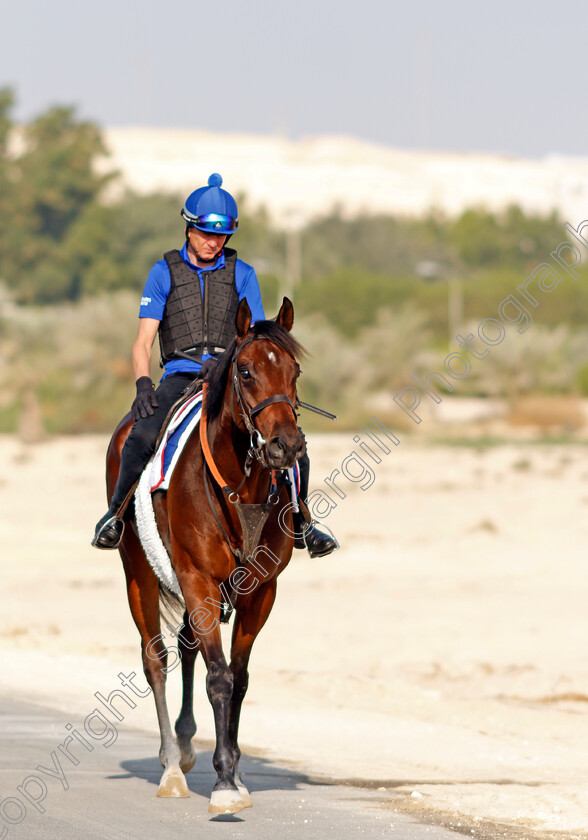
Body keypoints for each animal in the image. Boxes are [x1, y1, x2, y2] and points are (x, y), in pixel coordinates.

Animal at [105, 296, 306, 812]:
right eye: (248, 371)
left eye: (294, 371)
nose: (287, 445)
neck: (240, 487)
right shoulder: (197, 580)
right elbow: (219, 677)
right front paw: (224, 783)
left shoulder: (260, 591)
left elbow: (240, 677)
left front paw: (234, 769)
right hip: (139, 573)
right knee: (155, 658)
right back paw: (171, 766)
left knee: (185, 646)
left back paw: (186, 743)